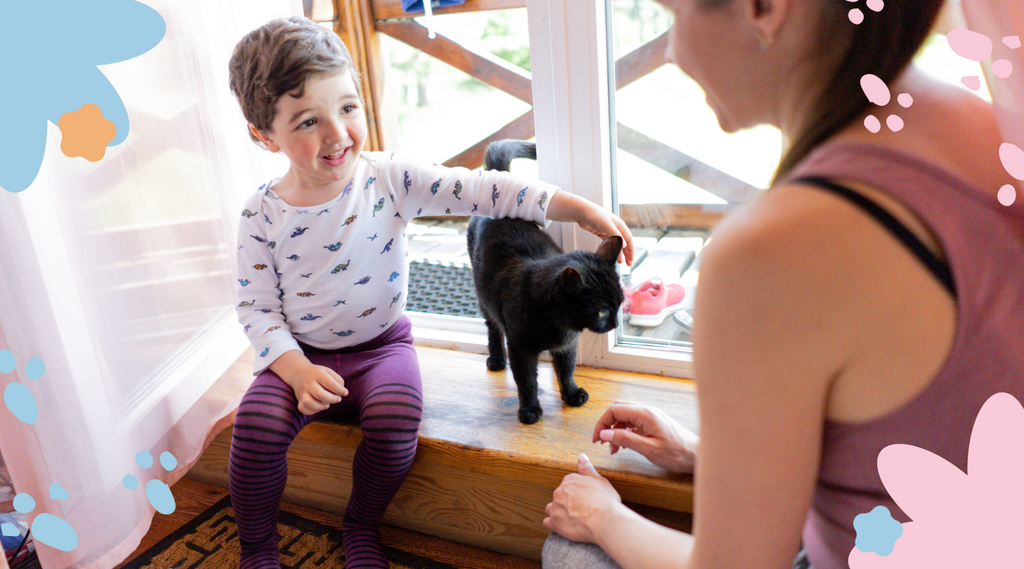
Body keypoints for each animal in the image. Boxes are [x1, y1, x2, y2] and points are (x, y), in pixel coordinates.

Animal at [466, 138, 622, 421]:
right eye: (602, 311)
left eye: (620, 305)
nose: (615, 324)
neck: (559, 325)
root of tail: (500, 179)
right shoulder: (520, 348)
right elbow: (526, 380)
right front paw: (529, 410)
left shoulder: (567, 345)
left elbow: (566, 370)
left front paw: (571, 394)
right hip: (483, 296)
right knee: (492, 326)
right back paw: (496, 360)